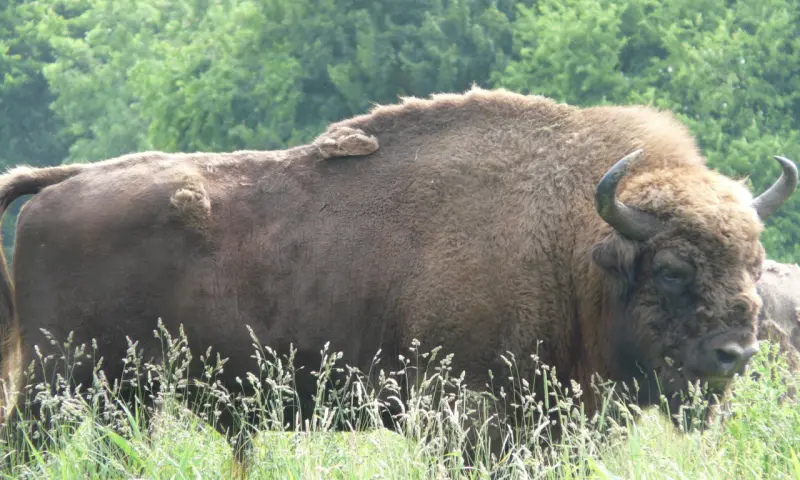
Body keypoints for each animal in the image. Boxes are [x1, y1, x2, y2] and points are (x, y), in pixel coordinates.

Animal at [0, 87, 796, 474]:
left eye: (755, 264)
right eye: (671, 268)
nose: (735, 355)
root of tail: (58, 186)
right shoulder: (465, 414)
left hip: (119, 397)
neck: (570, 241)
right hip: (58, 384)